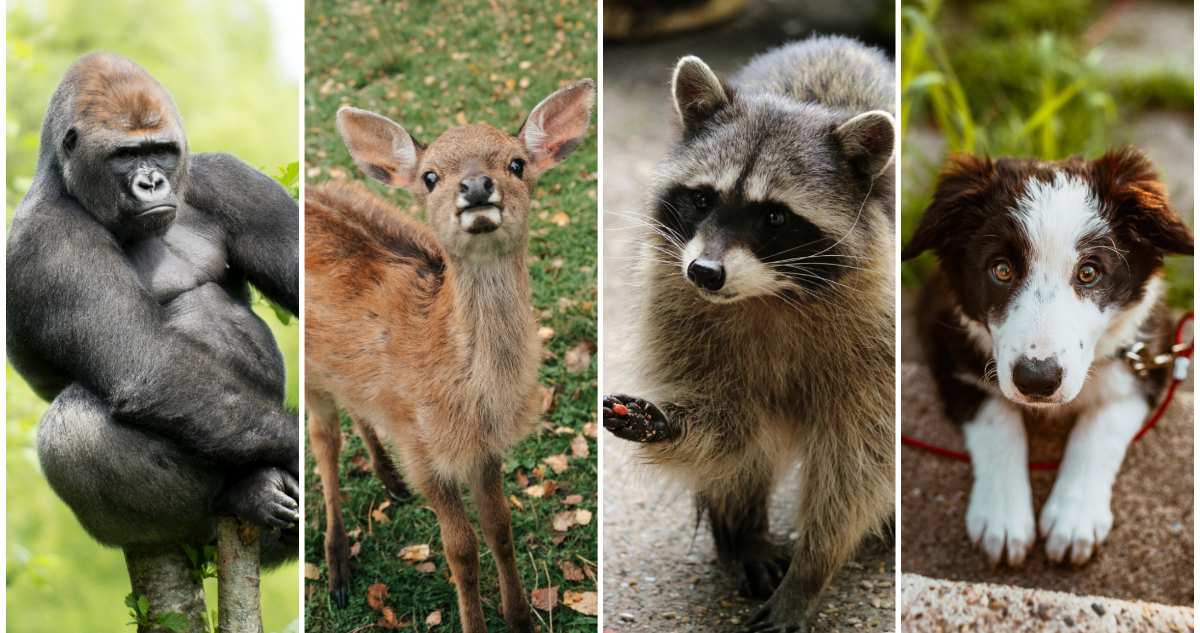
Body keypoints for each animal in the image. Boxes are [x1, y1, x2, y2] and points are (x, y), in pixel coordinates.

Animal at [304, 78, 595, 633]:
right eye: (431, 177)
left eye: (517, 163)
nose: (477, 186)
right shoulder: (425, 448)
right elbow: (460, 549)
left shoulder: (482, 446)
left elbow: (500, 526)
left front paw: (521, 620)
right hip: (306, 370)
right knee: (324, 442)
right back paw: (338, 571)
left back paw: (390, 481)